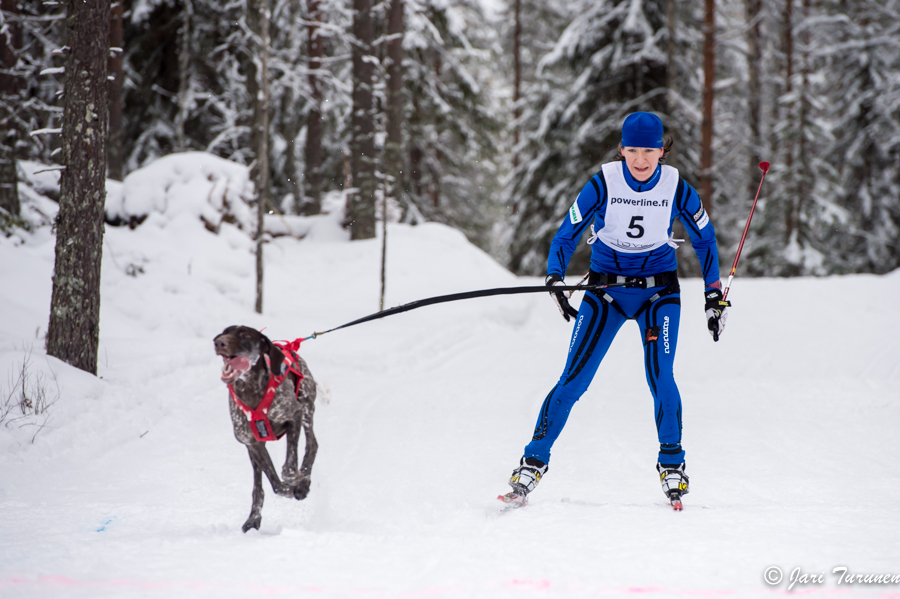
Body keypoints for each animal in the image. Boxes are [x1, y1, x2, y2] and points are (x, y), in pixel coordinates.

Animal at [214, 326, 318, 532]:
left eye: (245, 335)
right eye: (224, 332)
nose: (219, 342)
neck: (250, 389)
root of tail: (290, 346)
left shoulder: (294, 415)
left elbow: (289, 469)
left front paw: (298, 482)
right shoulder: (252, 444)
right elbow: (275, 484)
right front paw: (288, 489)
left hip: (307, 408)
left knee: (312, 445)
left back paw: (304, 482)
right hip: (254, 453)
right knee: (258, 487)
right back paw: (253, 518)